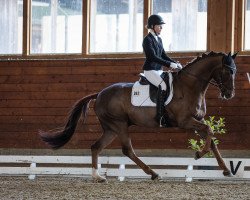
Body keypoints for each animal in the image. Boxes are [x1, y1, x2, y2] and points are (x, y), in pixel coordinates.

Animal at [38, 50, 236, 182]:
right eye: (228, 71)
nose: (229, 94)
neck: (190, 86)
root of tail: (100, 93)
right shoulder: (185, 121)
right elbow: (209, 132)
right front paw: (198, 154)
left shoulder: (198, 120)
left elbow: (212, 139)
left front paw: (226, 170)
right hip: (119, 125)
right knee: (127, 150)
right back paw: (153, 173)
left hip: (111, 128)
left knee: (96, 147)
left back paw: (98, 176)